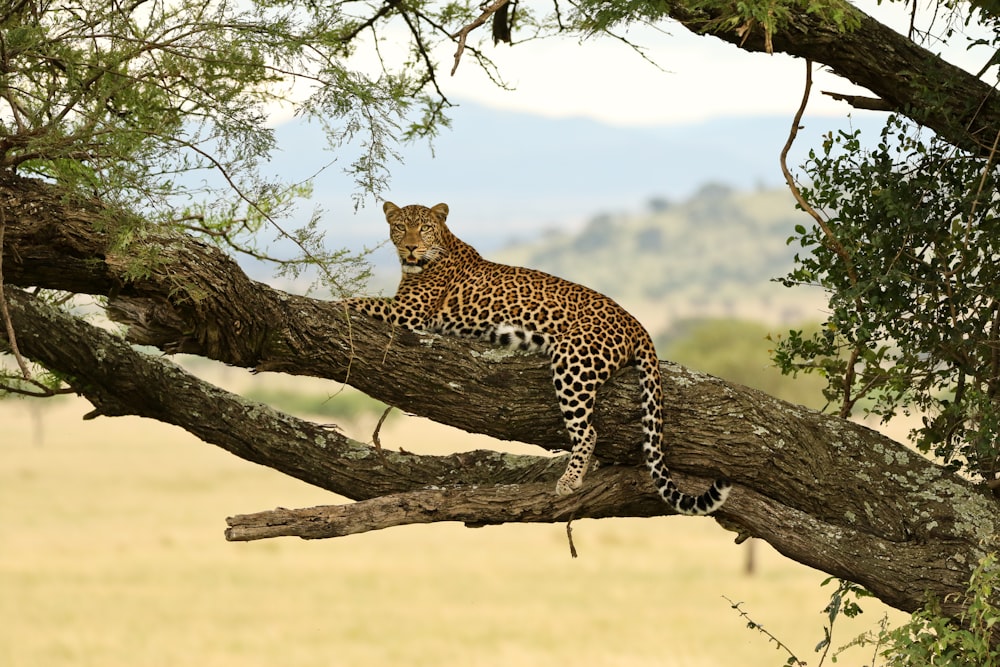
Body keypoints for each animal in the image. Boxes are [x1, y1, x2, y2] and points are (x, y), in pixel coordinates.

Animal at [348, 200, 732, 516]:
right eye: (400, 227)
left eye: (425, 227)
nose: (411, 246)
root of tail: (635, 322)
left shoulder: (409, 313)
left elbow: (357, 300)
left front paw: (333, 305)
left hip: (573, 362)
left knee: (588, 431)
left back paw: (570, 480)